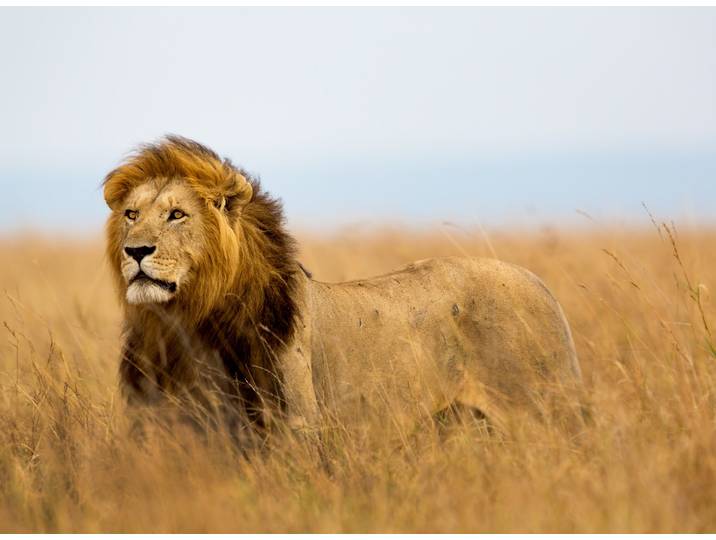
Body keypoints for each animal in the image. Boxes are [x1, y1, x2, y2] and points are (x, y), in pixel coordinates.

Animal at [103, 136, 584, 443]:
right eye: (131, 214)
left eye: (177, 215)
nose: (136, 250)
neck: (185, 323)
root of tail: (540, 284)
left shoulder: (294, 427)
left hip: (545, 413)